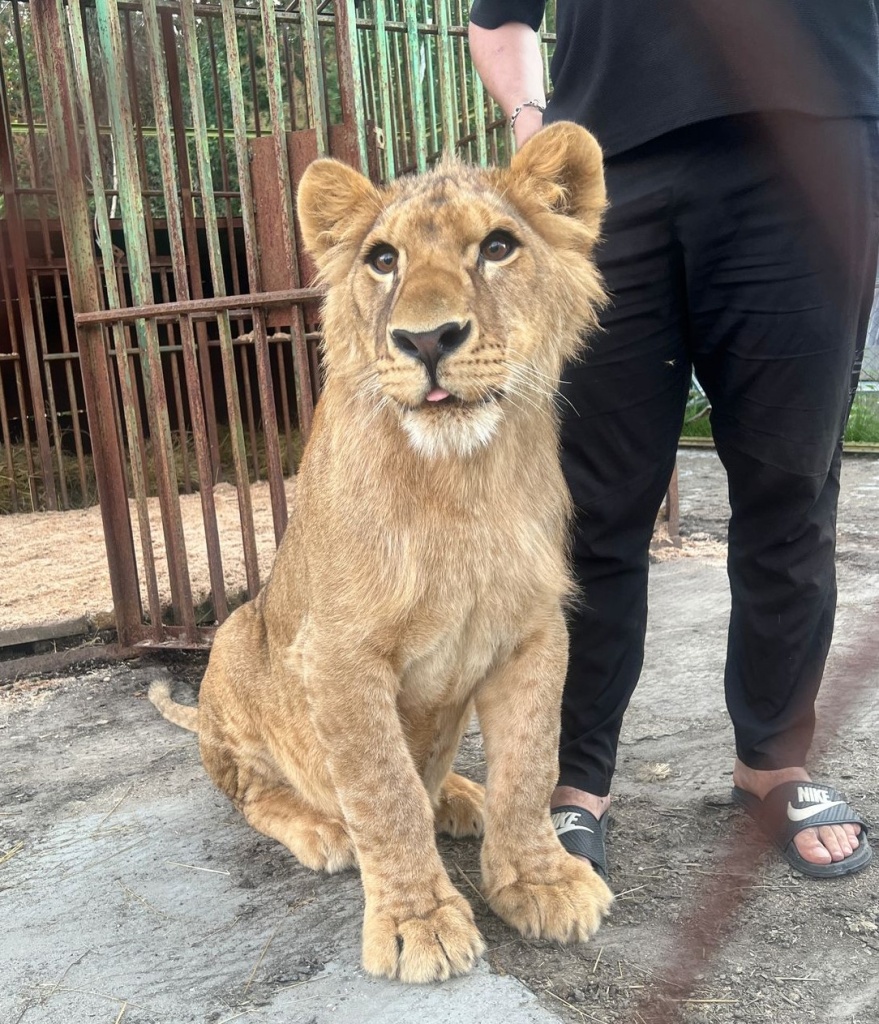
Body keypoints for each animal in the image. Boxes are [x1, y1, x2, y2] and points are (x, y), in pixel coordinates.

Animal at [148, 121, 613, 984]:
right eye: (383, 259)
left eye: (497, 246)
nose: (427, 339)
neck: (461, 482)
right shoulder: (337, 655)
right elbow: (383, 789)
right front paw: (416, 923)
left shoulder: (533, 630)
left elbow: (530, 766)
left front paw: (537, 880)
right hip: (235, 639)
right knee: (253, 791)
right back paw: (322, 829)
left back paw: (460, 795)